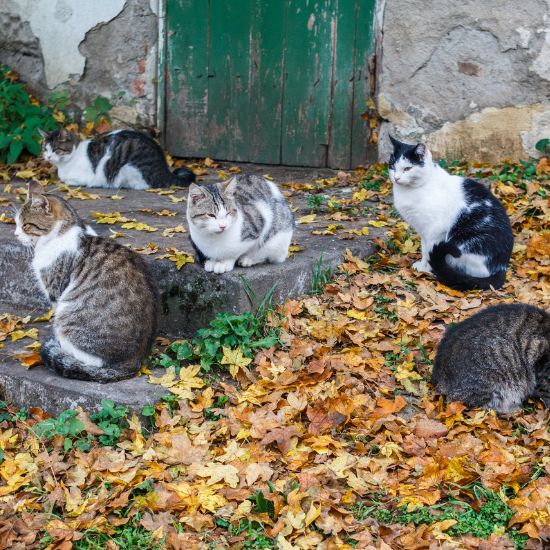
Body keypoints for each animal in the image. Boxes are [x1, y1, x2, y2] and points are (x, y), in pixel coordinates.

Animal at [38, 128, 195, 191]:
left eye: (56, 149)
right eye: (45, 149)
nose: (48, 156)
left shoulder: (85, 177)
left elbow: (67, 181)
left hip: (126, 167)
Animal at [390, 137, 516, 294]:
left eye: (407, 169)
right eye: (393, 167)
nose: (396, 178)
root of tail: (502, 267)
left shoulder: (435, 229)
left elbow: (428, 250)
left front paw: (426, 268)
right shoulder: (423, 231)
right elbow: (424, 248)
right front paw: (423, 264)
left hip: (463, 243)